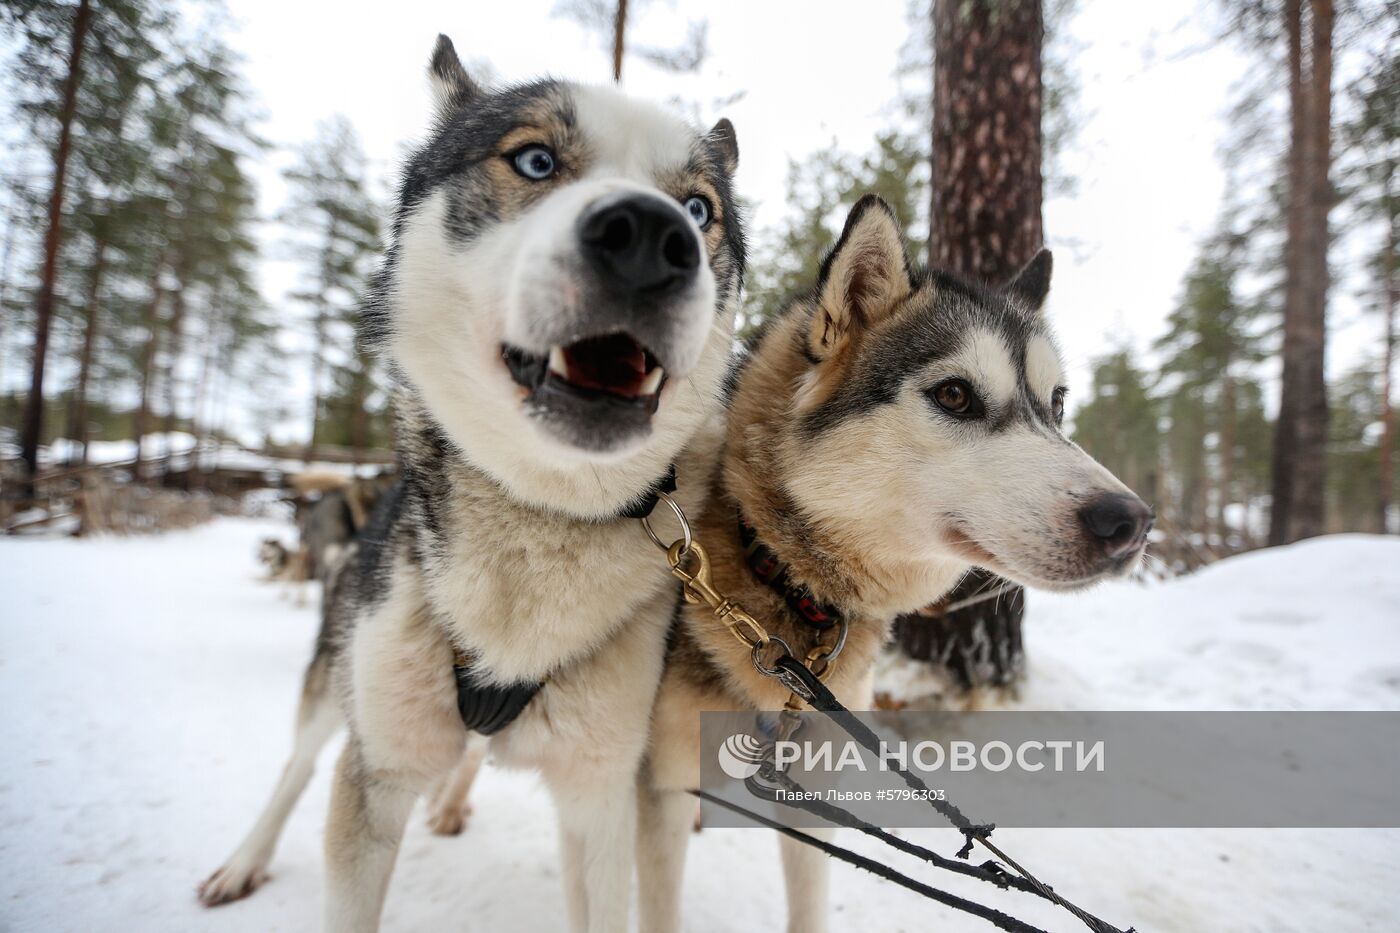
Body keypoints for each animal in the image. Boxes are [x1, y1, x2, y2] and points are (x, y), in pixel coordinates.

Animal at [198, 36, 750, 930]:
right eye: (535, 160)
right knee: (297, 765)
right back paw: (246, 858)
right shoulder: (377, 770)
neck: (537, 514)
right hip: (339, 675)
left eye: (701, 210)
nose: (654, 236)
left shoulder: (601, 793)